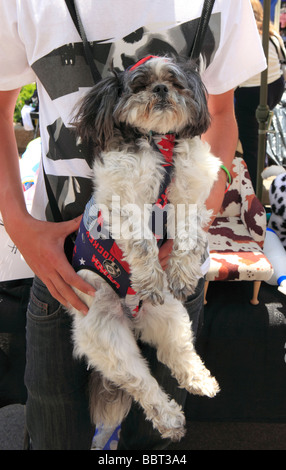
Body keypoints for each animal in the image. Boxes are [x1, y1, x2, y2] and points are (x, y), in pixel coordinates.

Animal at [69, 55, 221, 440]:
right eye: (138, 85)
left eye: (175, 81)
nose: (161, 89)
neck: (159, 144)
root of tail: (133, 316)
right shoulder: (122, 203)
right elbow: (142, 242)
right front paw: (151, 278)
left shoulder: (189, 196)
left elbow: (188, 233)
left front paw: (180, 274)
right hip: (108, 337)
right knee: (142, 383)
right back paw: (169, 419)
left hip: (171, 317)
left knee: (178, 352)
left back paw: (199, 381)